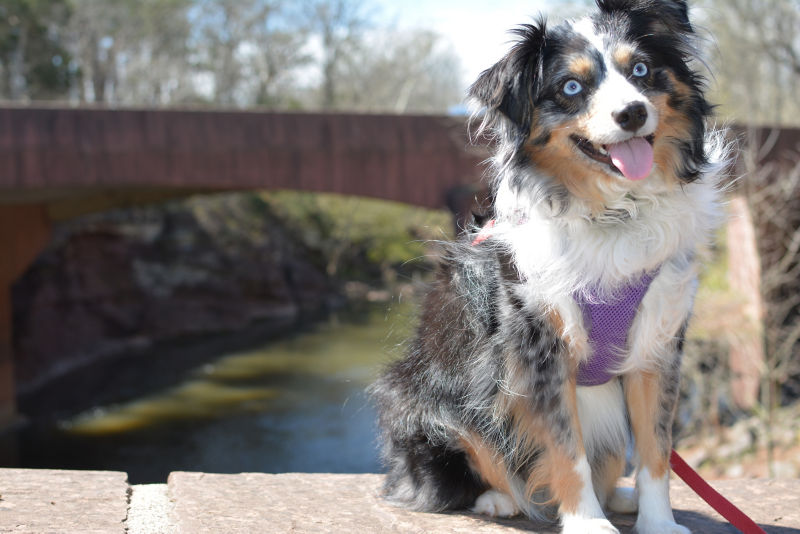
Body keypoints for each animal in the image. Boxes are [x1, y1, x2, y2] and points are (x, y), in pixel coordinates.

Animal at [368, 0, 732, 532]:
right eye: (571, 87)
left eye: (641, 70)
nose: (633, 113)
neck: (613, 212)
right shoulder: (539, 347)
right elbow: (566, 447)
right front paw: (588, 522)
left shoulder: (657, 343)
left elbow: (655, 449)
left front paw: (659, 523)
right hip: (433, 399)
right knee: (477, 463)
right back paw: (499, 500)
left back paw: (619, 498)